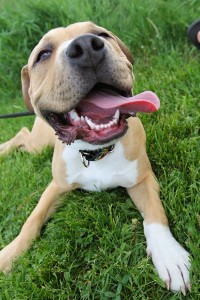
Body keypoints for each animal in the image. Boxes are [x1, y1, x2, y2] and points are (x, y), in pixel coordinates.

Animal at [0, 22, 191, 294]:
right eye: (43, 54)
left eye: (102, 34)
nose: (86, 47)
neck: (96, 153)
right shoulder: (56, 186)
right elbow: (32, 220)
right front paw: (9, 254)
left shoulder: (142, 179)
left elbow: (155, 213)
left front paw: (169, 255)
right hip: (39, 144)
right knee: (22, 134)